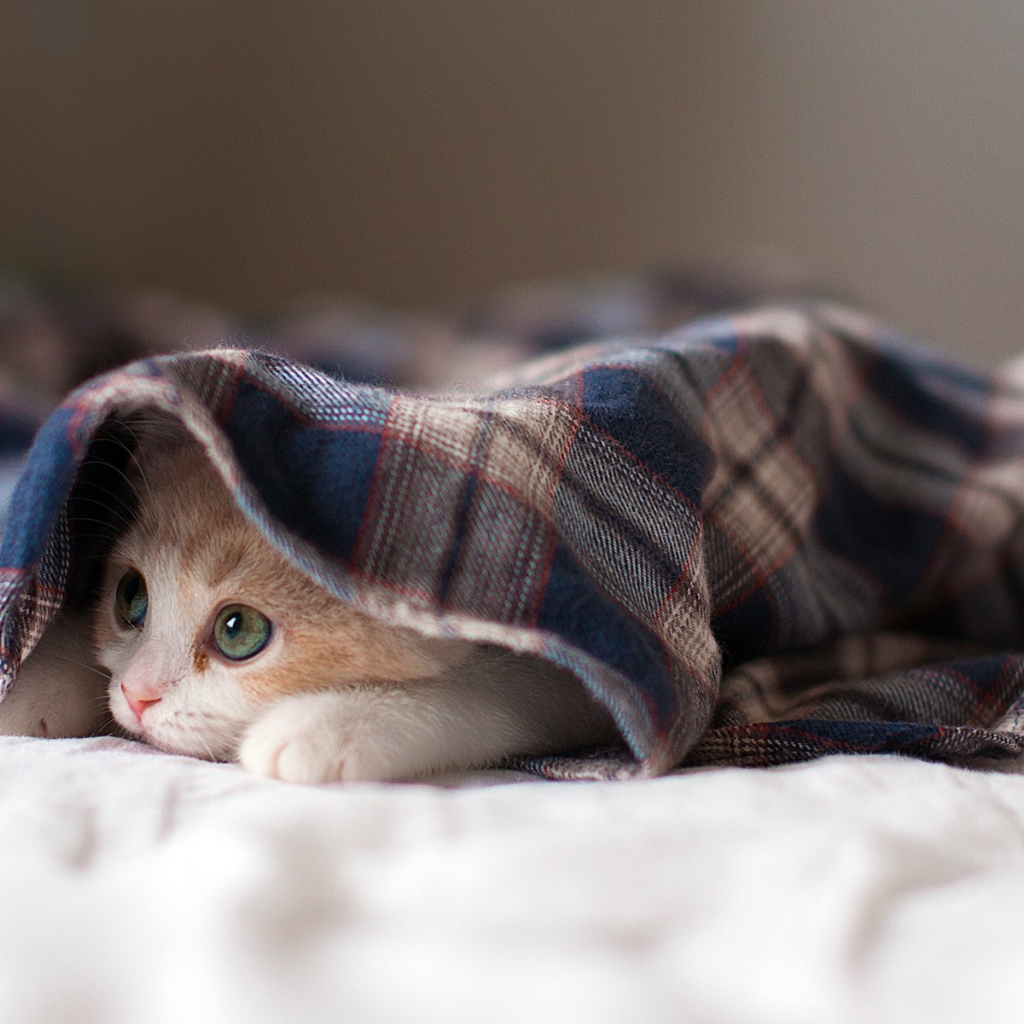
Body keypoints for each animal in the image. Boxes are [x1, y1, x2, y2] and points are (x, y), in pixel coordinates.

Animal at [2, 423, 614, 782]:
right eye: (131, 598)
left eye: (238, 630)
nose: (137, 694)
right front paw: (40, 677)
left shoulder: (582, 655)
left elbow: (503, 689)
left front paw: (329, 720)